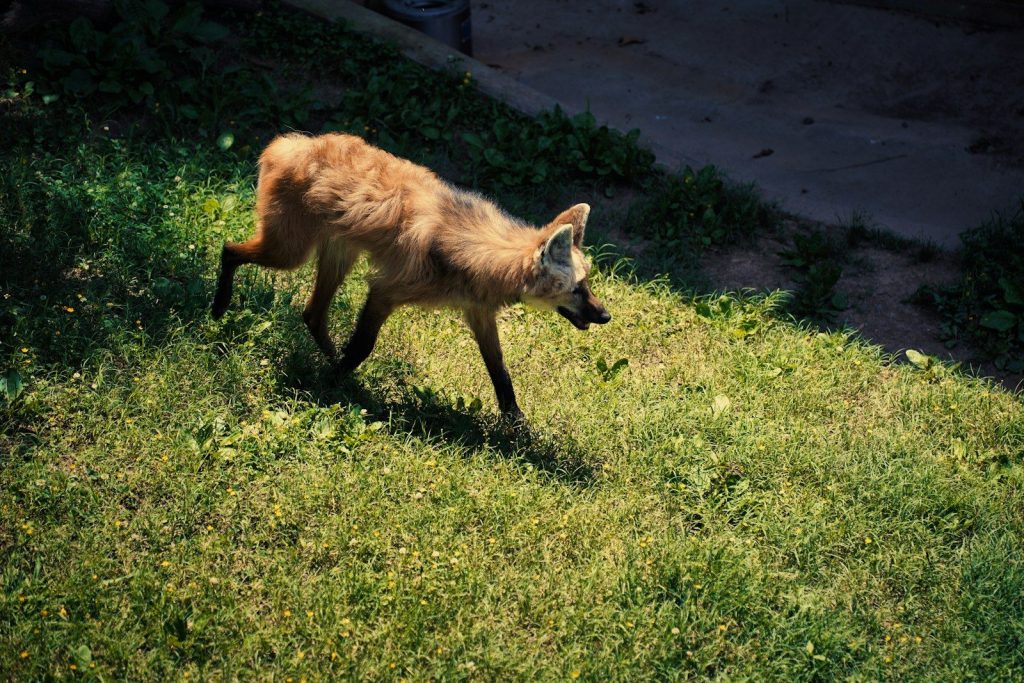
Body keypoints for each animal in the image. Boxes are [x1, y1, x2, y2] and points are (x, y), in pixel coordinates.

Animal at [211, 133, 611, 419]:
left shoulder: (478, 311)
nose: (606, 316)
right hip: (289, 253)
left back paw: (329, 359)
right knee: (229, 250)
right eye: (576, 289)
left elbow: (500, 372)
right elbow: (362, 345)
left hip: (337, 256)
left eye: (587, 284)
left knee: (312, 314)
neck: (470, 251)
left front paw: (517, 426)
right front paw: (332, 385)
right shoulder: (385, 291)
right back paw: (219, 310)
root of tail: (291, 144)